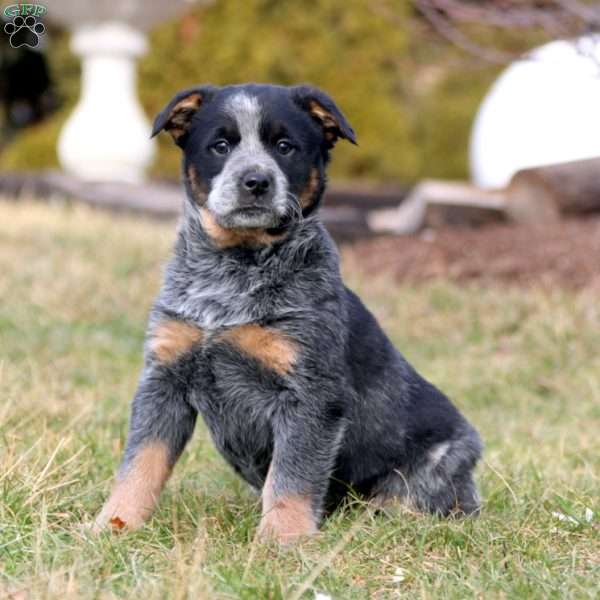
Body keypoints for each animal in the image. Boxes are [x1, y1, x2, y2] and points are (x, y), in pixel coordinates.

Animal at [95, 83, 482, 544]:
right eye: (220, 146)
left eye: (285, 147)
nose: (256, 181)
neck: (233, 271)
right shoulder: (165, 375)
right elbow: (140, 462)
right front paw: (112, 524)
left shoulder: (311, 394)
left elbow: (292, 476)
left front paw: (281, 541)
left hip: (439, 462)